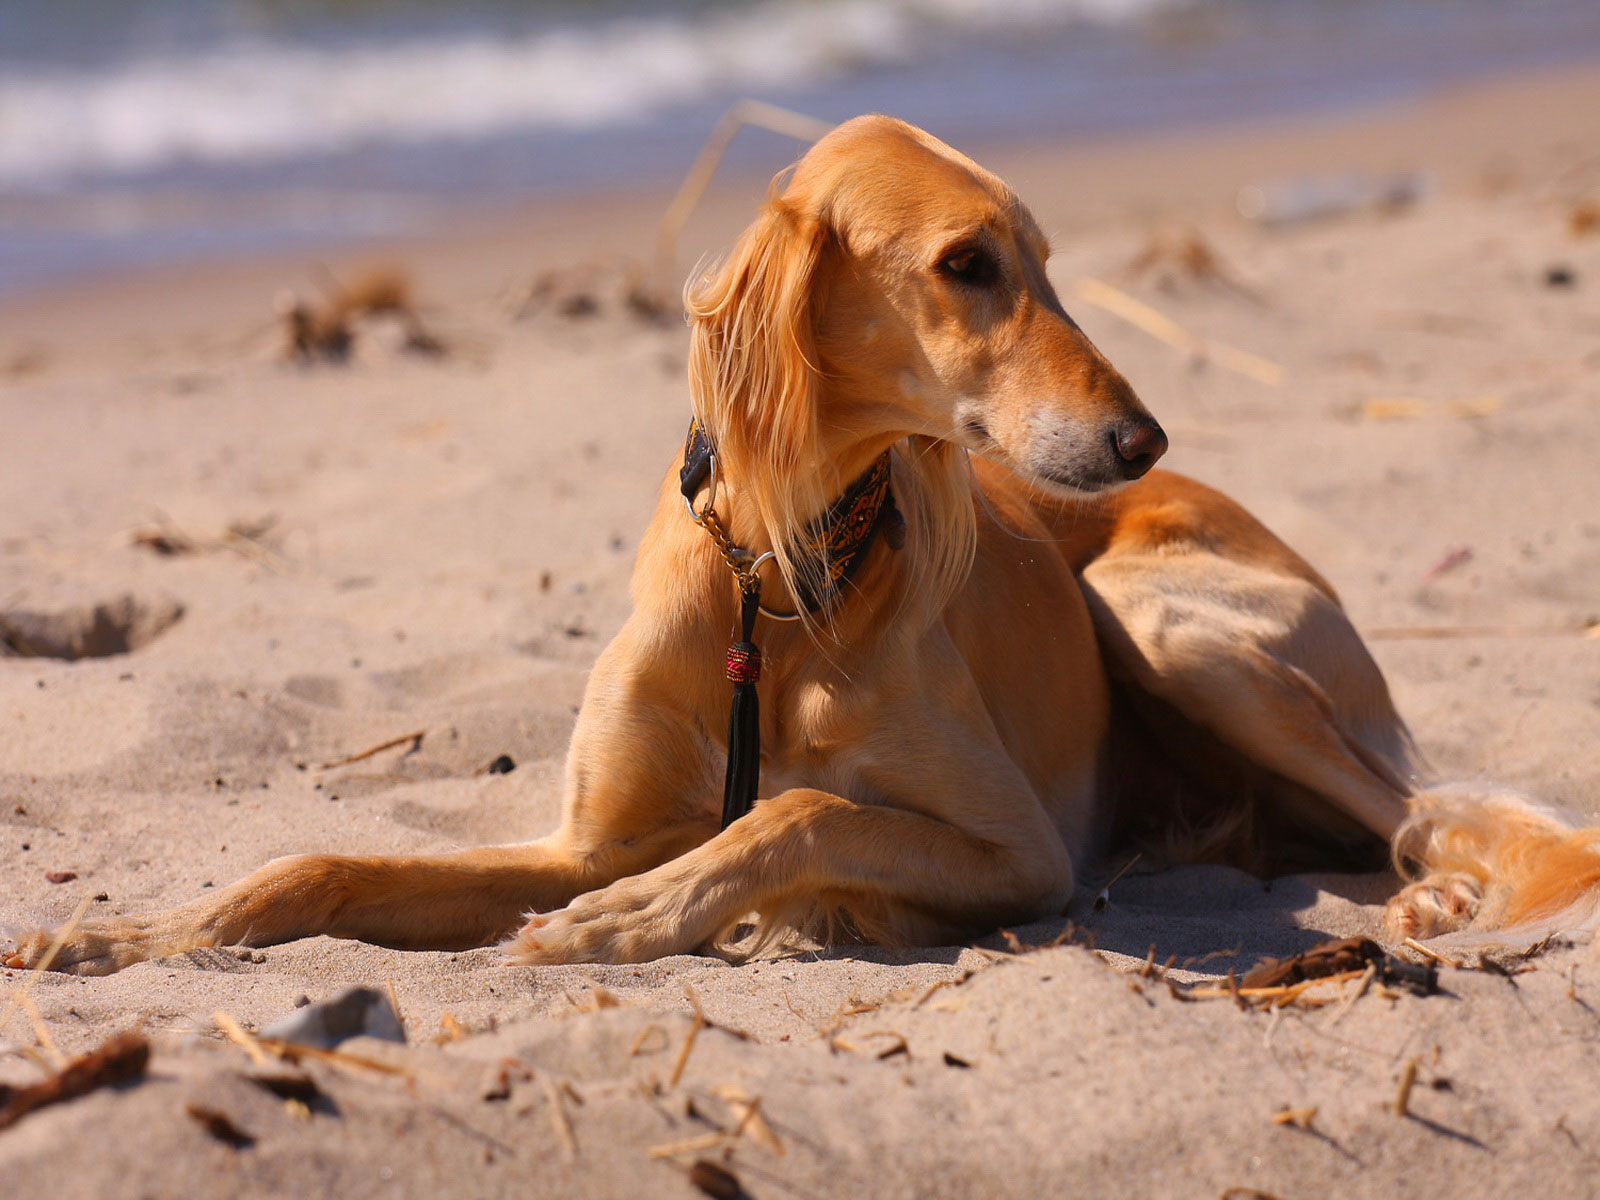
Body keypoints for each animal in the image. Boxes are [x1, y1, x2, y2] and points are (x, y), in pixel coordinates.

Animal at [12, 115, 1600, 979]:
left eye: (1047, 262)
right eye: (969, 265)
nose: (1139, 439)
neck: (769, 587)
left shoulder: (1023, 848)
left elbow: (798, 815)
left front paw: (647, 924)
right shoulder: (578, 835)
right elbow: (317, 868)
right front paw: (128, 938)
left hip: (1166, 620)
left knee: (1423, 803)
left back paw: (1439, 888)